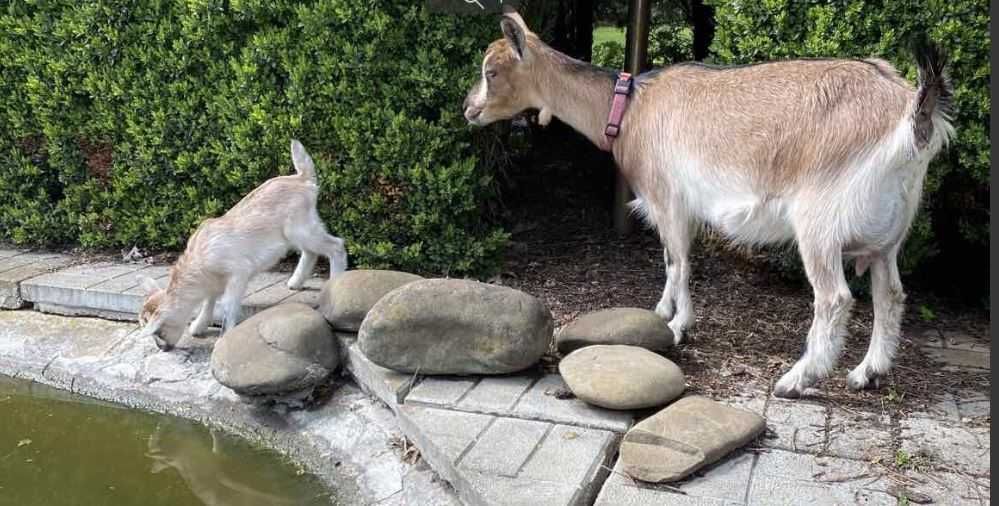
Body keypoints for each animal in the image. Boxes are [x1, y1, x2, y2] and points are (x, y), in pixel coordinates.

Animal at [138, 139, 348, 352]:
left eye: (158, 332)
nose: (162, 348)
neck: (199, 262)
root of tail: (302, 178)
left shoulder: (238, 273)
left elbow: (228, 306)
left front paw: (224, 338)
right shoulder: (214, 283)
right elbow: (208, 302)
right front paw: (198, 326)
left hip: (301, 229)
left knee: (336, 246)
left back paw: (336, 283)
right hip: (298, 233)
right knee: (310, 252)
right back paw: (296, 282)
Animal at [464, 11, 956, 398]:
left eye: (492, 71)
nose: (469, 109)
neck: (628, 109)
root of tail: (912, 115)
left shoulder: (668, 198)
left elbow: (679, 261)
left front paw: (679, 326)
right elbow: (668, 260)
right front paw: (661, 312)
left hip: (819, 221)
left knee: (834, 298)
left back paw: (796, 379)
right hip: (889, 233)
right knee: (890, 294)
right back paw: (867, 373)